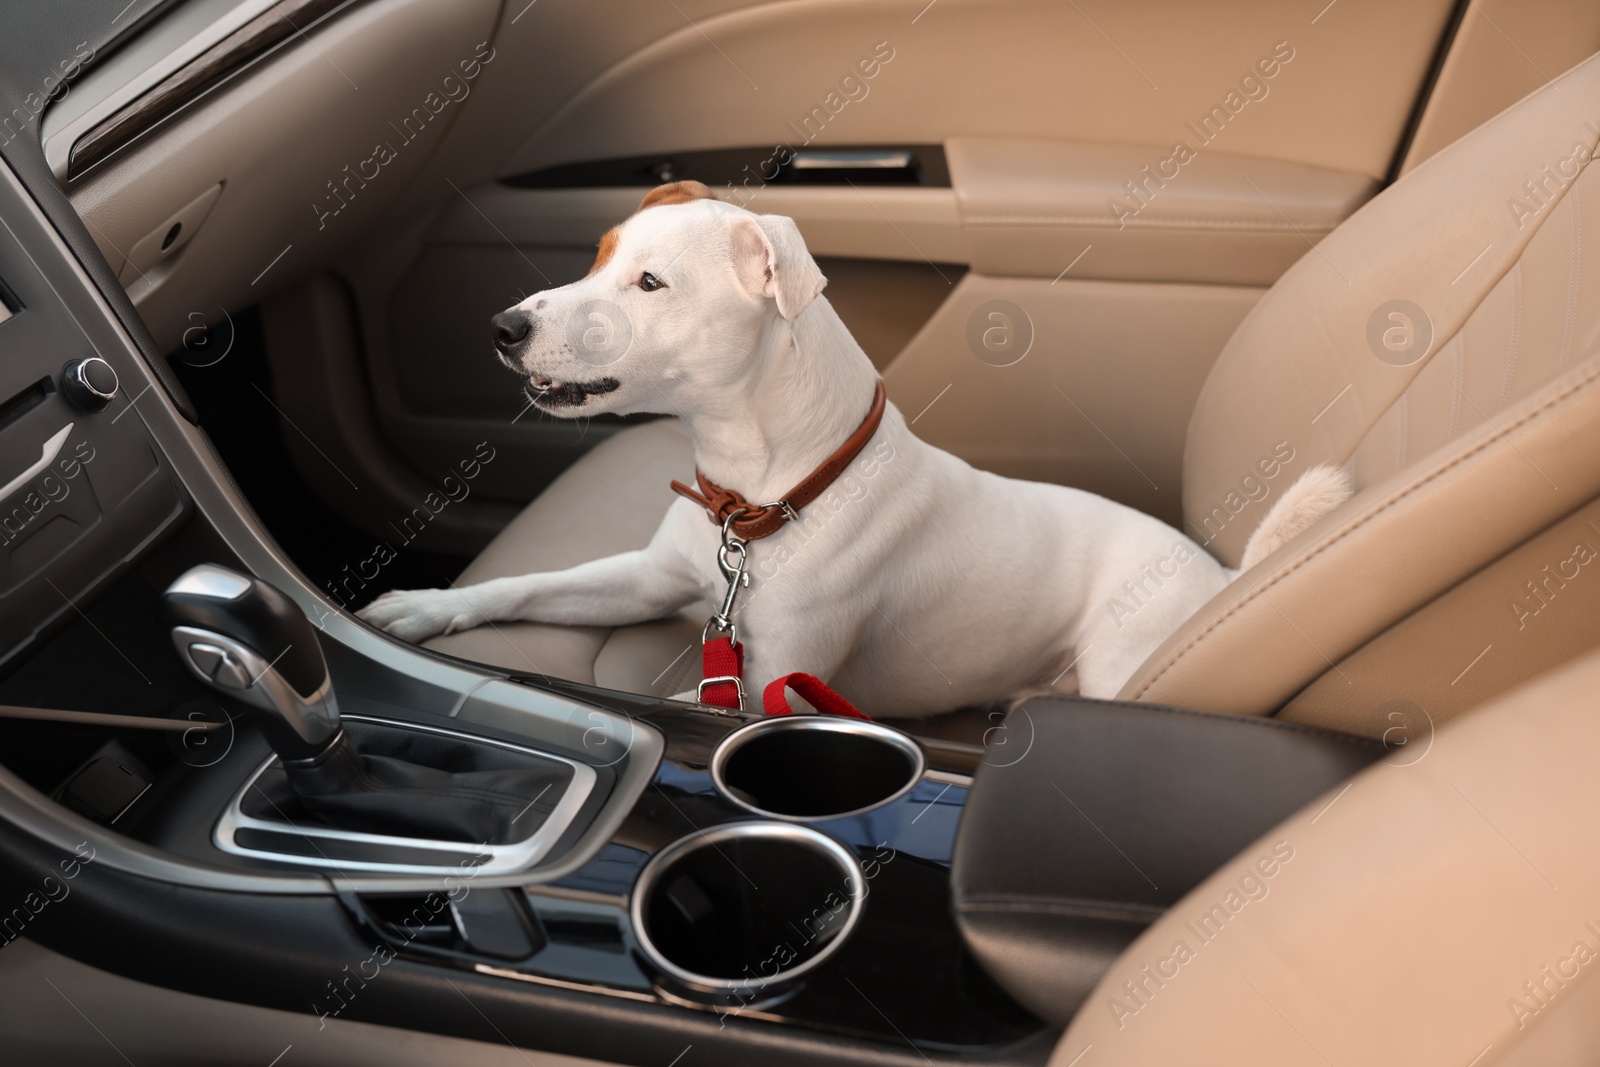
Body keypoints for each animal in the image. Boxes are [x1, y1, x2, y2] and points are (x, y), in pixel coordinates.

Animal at [366, 183, 1350, 716]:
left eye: (649, 283)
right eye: (598, 255)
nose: (503, 326)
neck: (767, 496)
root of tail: (1224, 578)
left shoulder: (771, 687)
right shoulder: (647, 577)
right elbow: (528, 585)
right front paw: (421, 609)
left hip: (1127, 650)